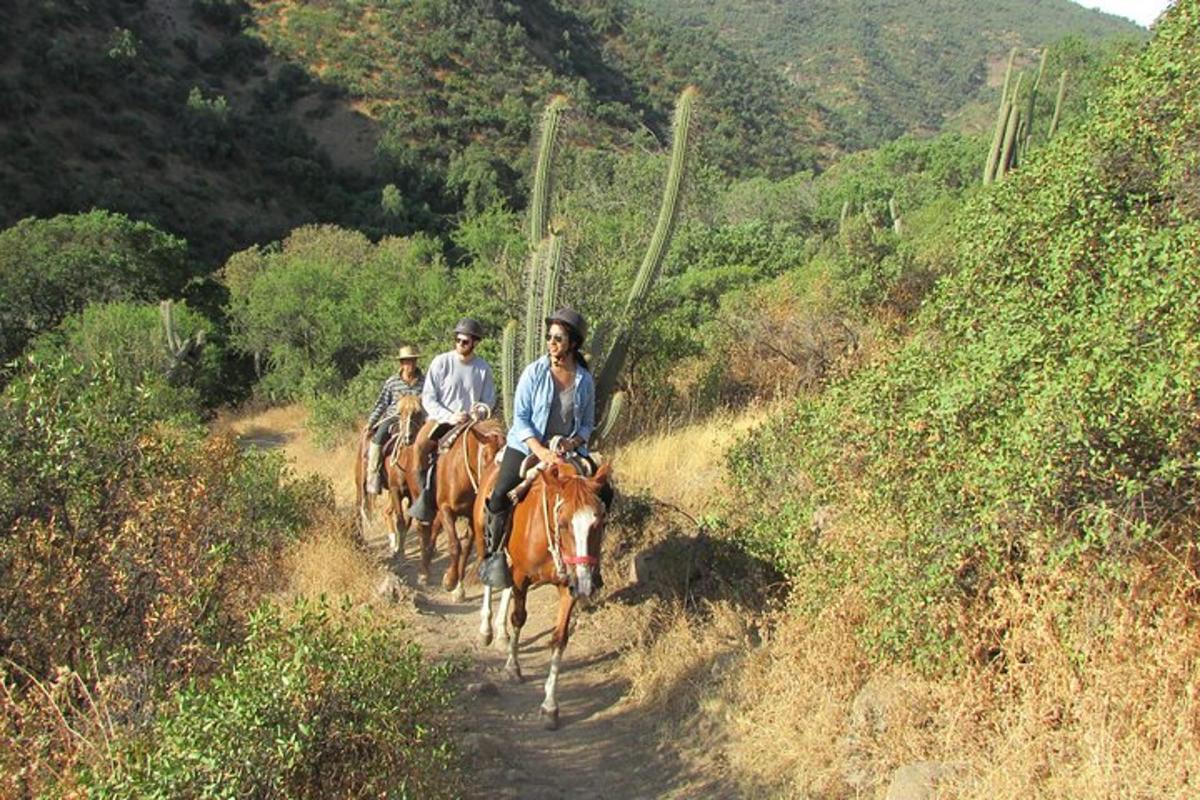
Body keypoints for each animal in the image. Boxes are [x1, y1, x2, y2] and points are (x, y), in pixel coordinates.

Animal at [355, 393, 427, 556]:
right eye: (400, 413)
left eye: (418, 412)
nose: (408, 437)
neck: (406, 461)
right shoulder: (395, 491)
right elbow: (400, 521)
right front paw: (399, 552)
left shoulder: (412, 496)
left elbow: (407, 522)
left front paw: (399, 547)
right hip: (361, 485)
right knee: (359, 511)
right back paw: (361, 541)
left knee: (386, 512)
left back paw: (392, 541)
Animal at [472, 460, 614, 729]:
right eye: (563, 523)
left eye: (600, 522)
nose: (586, 584)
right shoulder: (521, 577)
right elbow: (518, 618)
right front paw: (513, 668)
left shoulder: (568, 586)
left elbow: (559, 639)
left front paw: (550, 705)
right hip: (482, 538)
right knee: (488, 575)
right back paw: (486, 629)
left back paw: (500, 633)